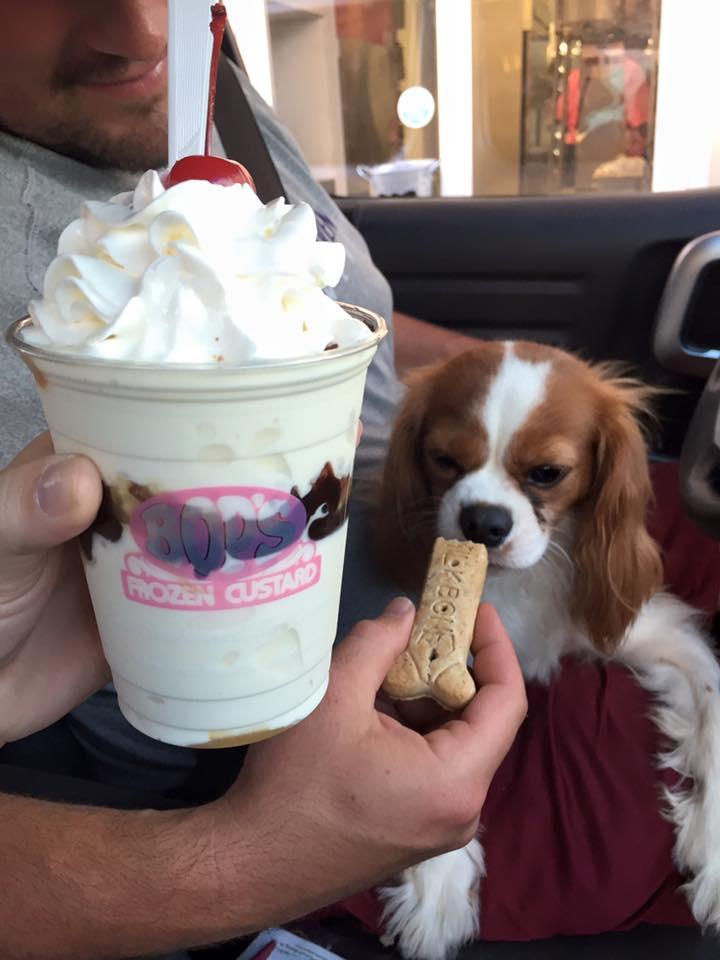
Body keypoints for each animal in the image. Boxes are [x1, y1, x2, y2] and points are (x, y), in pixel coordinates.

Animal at [376, 342, 720, 960]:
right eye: (444, 459)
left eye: (547, 473)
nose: (483, 521)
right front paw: (437, 885)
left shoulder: (657, 632)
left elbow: (712, 709)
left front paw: (713, 852)